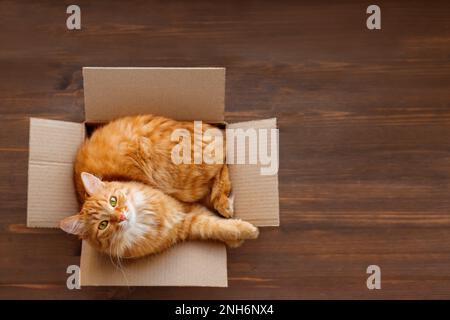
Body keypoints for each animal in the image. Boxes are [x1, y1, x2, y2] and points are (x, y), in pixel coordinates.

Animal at [59, 172, 258, 258]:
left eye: (113, 201)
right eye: (103, 225)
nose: (121, 216)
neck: (143, 220)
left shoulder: (184, 208)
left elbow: (216, 222)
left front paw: (241, 232)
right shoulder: (186, 225)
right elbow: (214, 227)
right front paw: (243, 234)